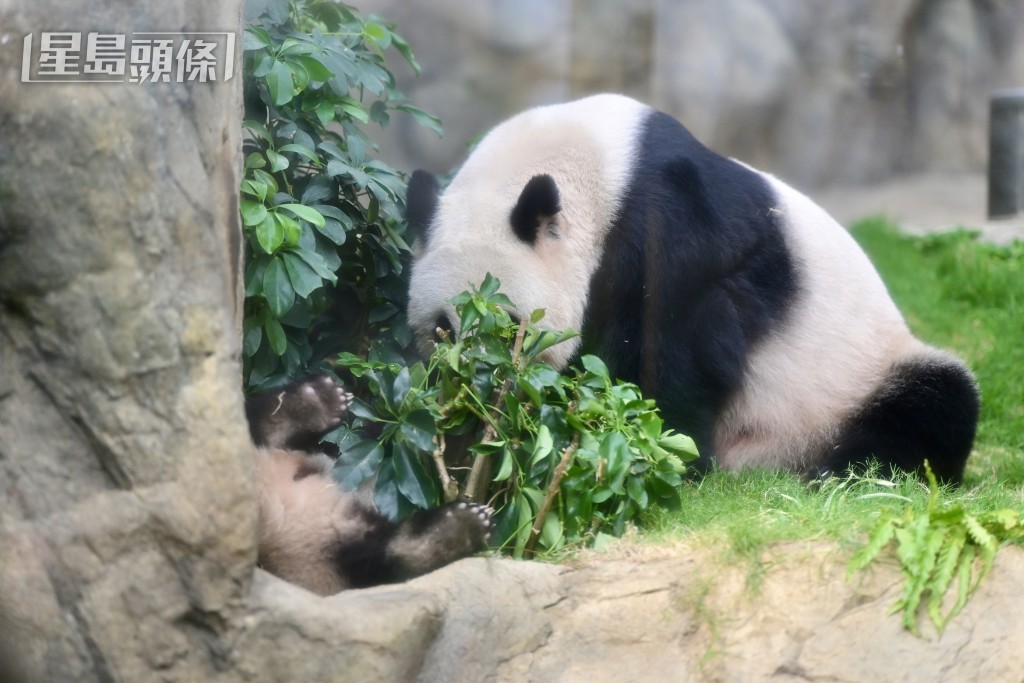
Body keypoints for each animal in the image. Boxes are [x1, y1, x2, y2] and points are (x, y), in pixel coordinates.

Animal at [403, 93, 978, 483]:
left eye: (510, 327)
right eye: (441, 328)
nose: (476, 392)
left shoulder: (672, 222)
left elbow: (676, 343)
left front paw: (664, 449)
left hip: (862, 373)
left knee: (936, 404)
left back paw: (842, 471)